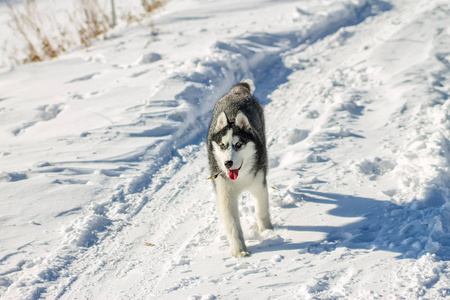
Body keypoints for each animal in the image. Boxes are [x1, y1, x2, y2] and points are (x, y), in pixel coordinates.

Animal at [207, 79, 272, 258]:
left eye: (238, 144)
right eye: (222, 145)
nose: (228, 163)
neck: (240, 177)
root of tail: (237, 92)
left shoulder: (258, 183)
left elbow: (261, 209)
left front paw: (267, 230)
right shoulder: (225, 194)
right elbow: (233, 226)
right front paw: (239, 250)